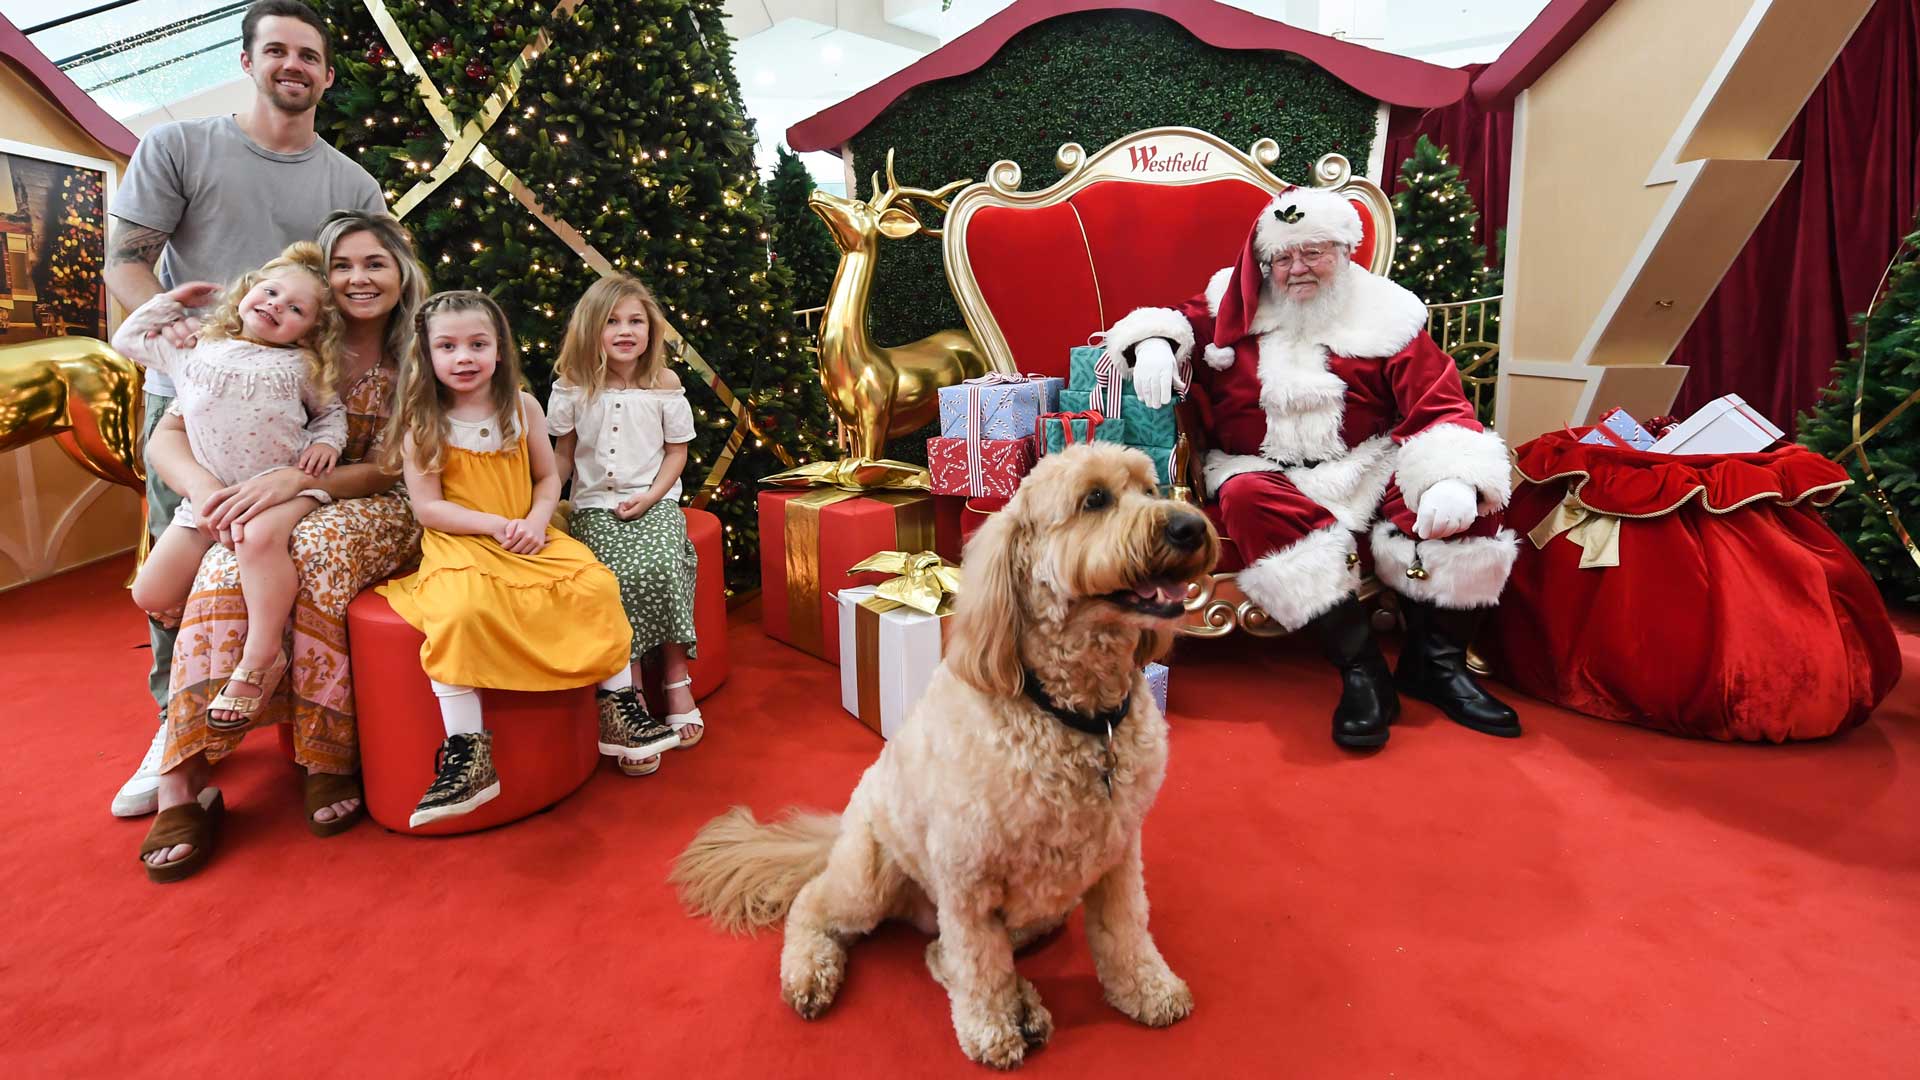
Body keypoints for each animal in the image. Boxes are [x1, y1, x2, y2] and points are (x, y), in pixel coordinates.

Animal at [675, 441, 1213, 1060]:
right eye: (1095, 499)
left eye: (1150, 489)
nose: (1191, 526)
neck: (1076, 714)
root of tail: (836, 835)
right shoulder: (967, 878)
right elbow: (979, 963)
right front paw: (992, 1031)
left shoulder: (1118, 856)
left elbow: (1124, 932)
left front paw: (1147, 989)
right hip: (870, 876)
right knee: (819, 907)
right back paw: (811, 974)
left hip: (1044, 907)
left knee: (940, 954)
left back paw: (1024, 1003)